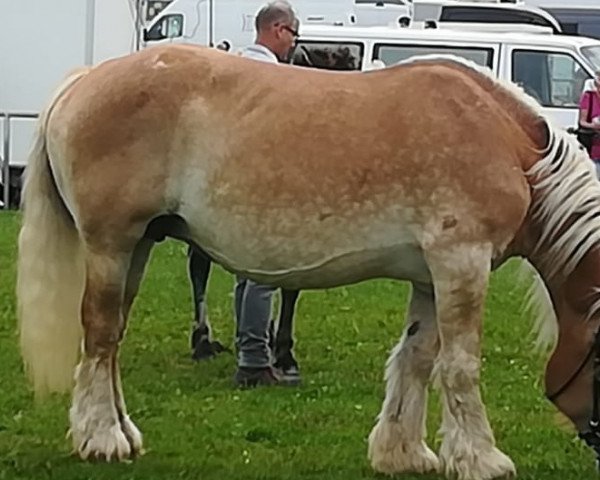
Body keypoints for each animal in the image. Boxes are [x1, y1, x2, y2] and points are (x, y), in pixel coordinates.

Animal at [15, 44, 600, 476]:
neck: (502, 139)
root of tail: (82, 81)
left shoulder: (431, 276)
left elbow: (416, 358)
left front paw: (403, 453)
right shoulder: (462, 261)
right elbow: (459, 367)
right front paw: (481, 459)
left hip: (138, 246)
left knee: (112, 339)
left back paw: (124, 433)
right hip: (111, 245)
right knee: (100, 334)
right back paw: (102, 439)